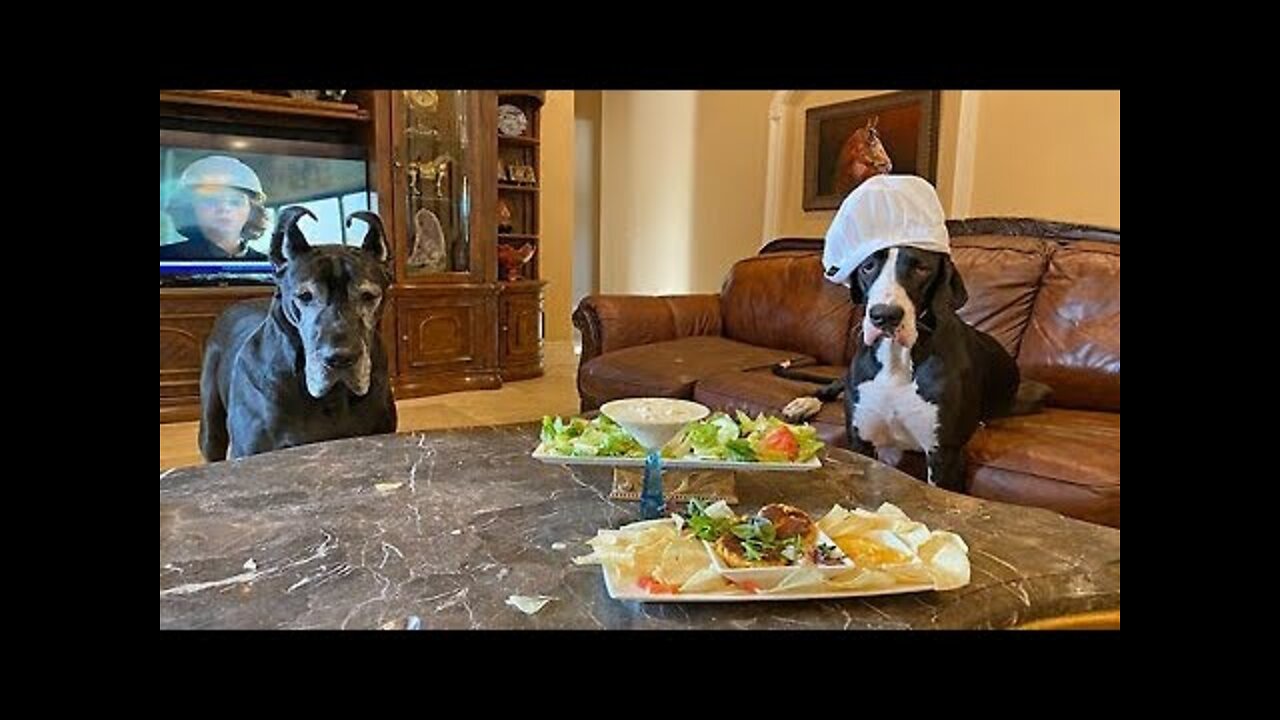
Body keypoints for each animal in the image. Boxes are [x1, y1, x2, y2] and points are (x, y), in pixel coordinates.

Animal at [778, 243, 1049, 489]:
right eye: (868, 267)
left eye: (921, 268)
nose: (884, 316)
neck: (896, 360)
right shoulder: (861, 441)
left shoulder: (944, 456)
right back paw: (805, 403)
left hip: (1034, 393)